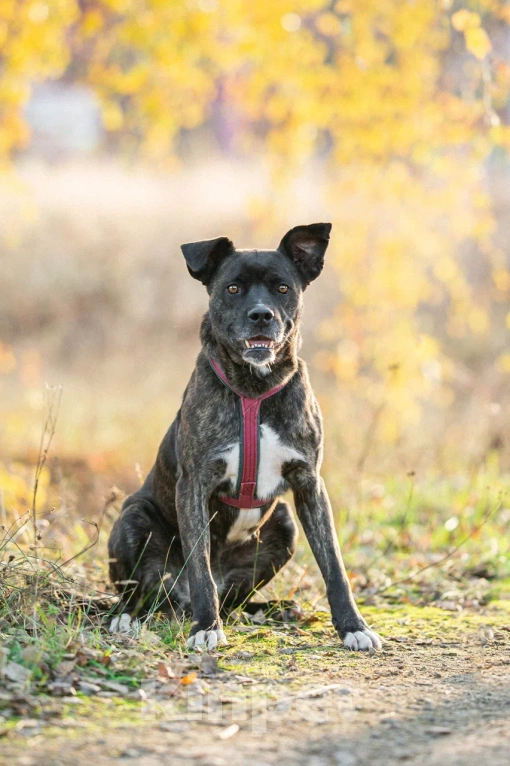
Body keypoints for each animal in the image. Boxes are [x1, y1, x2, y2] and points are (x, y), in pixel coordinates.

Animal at [109, 224, 384, 656]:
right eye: (233, 288)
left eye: (283, 288)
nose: (261, 315)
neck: (255, 387)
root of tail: (176, 603)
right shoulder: (194, 486)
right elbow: (200, 566)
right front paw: (206, 629)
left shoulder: (310, 485)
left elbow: (335, 566)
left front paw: (354, 627)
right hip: (133, 519)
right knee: (143, 593)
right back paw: (130, 617)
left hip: (284, 525)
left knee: (234, 600)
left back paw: (275, 608)